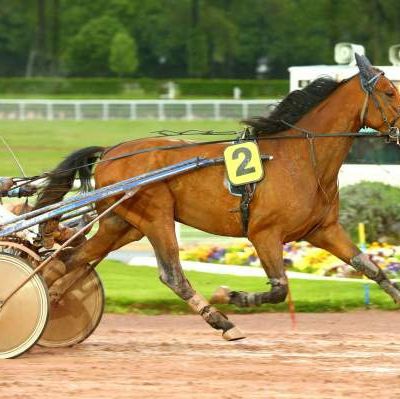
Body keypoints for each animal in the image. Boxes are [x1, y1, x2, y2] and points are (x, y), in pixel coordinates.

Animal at [36, 55, 398, 340]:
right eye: (389, 92)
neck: (299, 159)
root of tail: (111, 151)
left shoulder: (323, 230)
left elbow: (372, 268)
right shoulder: (264, 233)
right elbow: (279, 288)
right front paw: (231, 294)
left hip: (122, 224)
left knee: (70, 260)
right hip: (155, 216)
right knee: (171, 275)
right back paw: (223, 322)